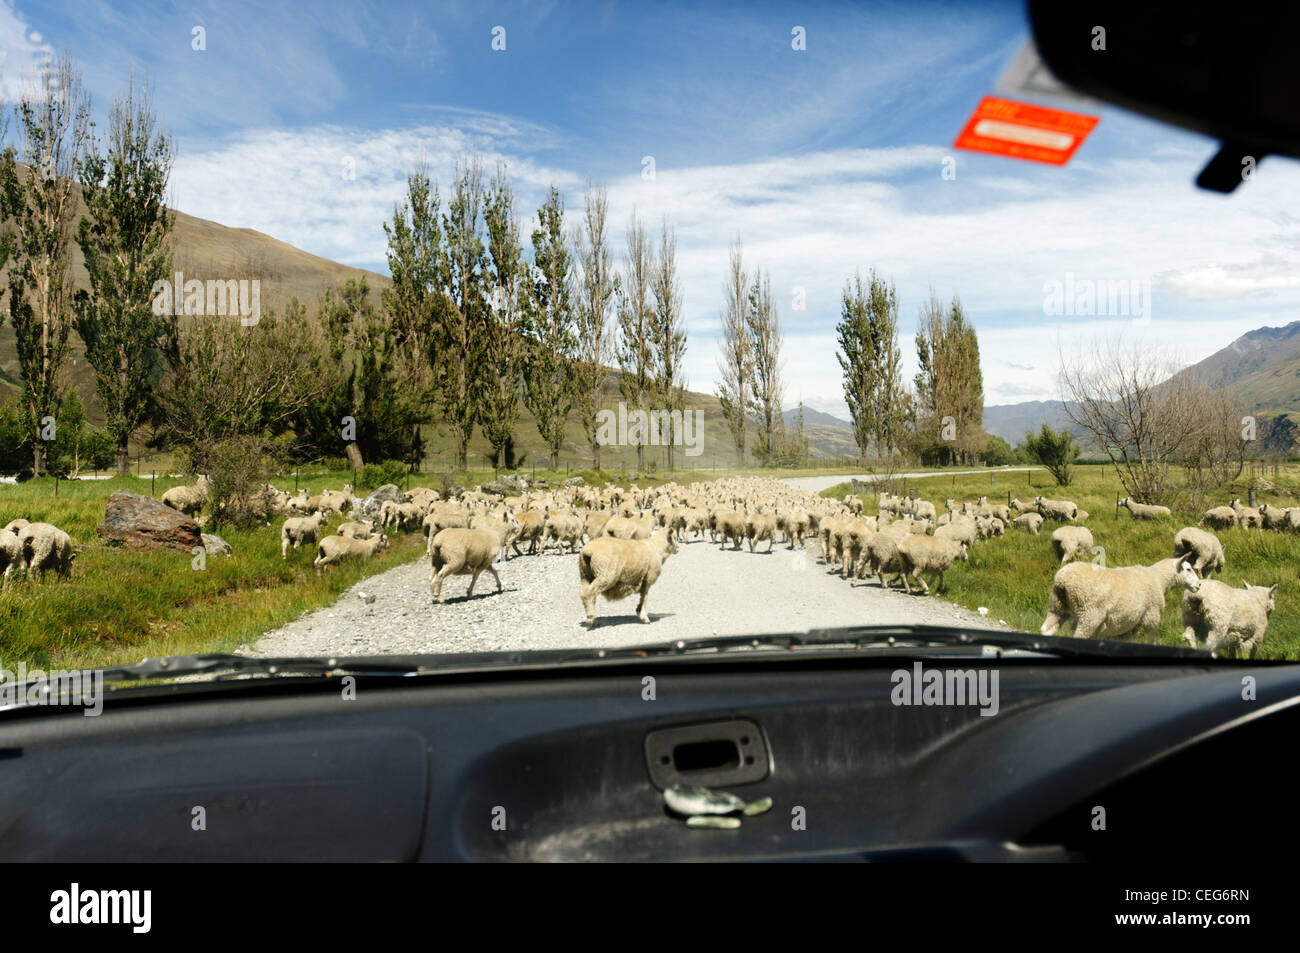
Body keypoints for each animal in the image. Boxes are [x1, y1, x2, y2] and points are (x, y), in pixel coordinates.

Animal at [1040, 553, 1201, 642]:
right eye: (1188, 569)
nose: (1199, 585)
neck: (1159, 579)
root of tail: (1062, 581)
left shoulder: (1132, 623)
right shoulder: (1151, 616)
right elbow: (1151, 639)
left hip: (1057, 607)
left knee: (1046, 630)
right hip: (1089, 615)